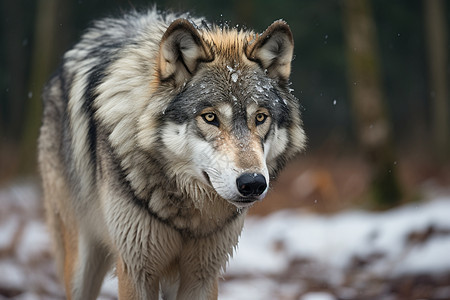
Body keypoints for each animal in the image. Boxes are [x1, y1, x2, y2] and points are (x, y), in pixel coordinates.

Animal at [37, 7, 306, 300]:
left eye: (260, 117)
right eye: (210, 117)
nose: (253, 183)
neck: (186, 212)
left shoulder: (202, 274)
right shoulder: (136, 270)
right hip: (81, 262)